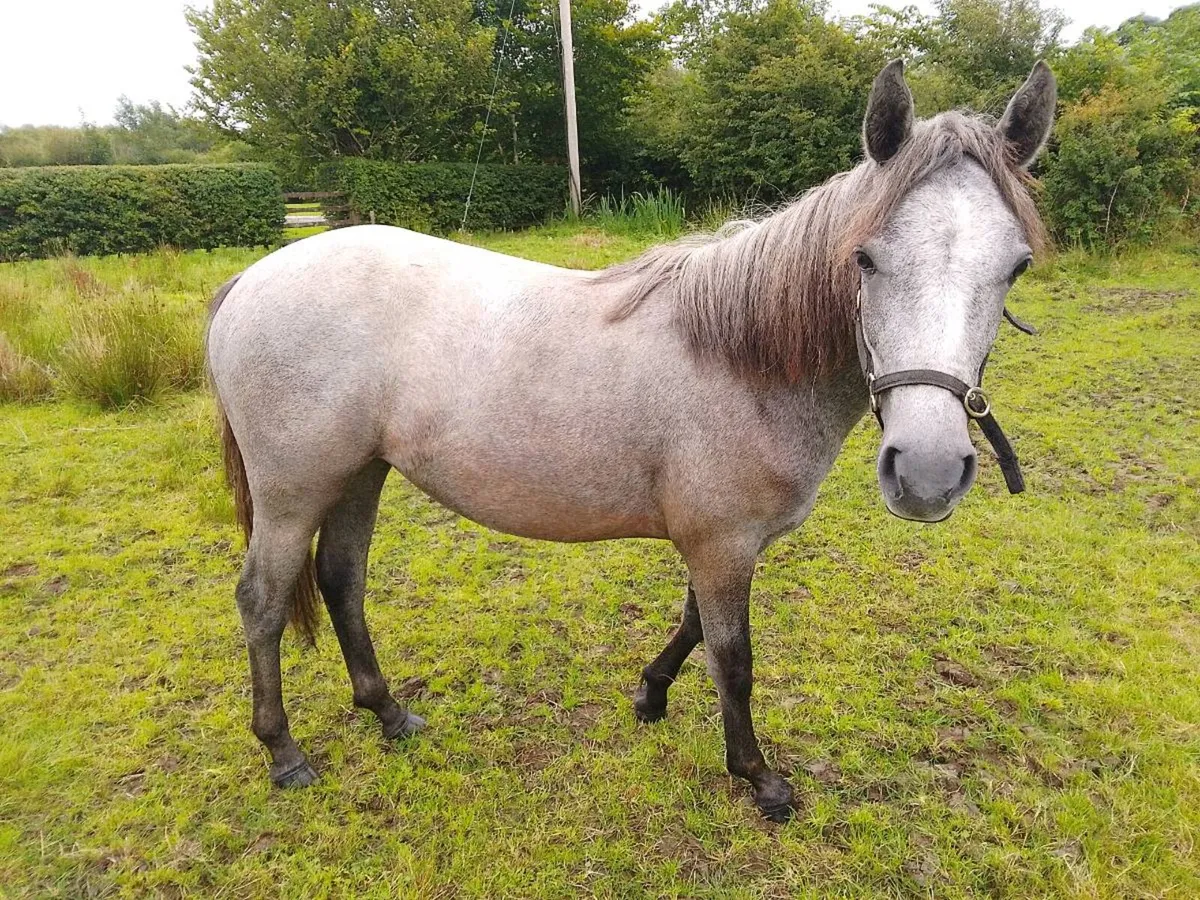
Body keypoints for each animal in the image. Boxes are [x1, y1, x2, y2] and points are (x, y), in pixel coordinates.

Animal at [206, 60, 1056, 821]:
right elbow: (733, 660)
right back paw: (284, 753)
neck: (742, 358)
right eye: (865, 257)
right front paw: (759, 778)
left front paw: (651, 694)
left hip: (361, 473)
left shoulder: (715, 544)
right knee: (264, 601)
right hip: (293, 492)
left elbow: (693, 626)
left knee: (342, 583)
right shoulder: (723, 544)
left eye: (1016, 267)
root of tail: (251, 280)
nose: (929, 472)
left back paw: (388, 714)